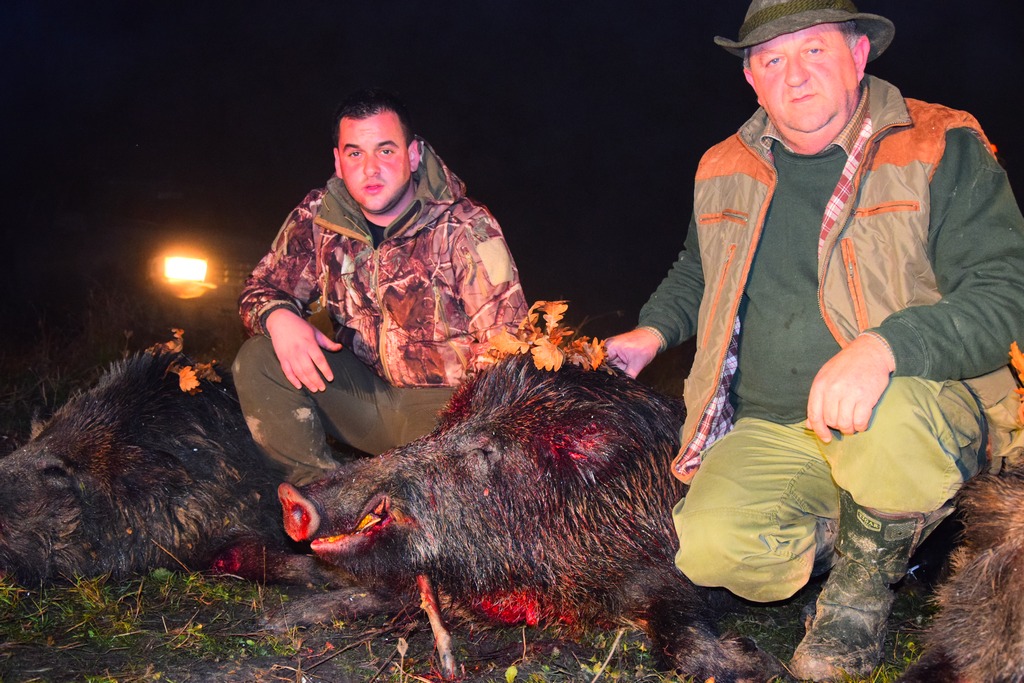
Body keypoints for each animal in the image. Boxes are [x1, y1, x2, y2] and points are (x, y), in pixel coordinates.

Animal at [277, 353, 787, 683]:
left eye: (487, 451)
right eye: (442, 428)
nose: (290, 497)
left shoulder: (667, 569)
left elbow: (683, 634)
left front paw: (754, 663)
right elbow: (378, 593)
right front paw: (282, 619)